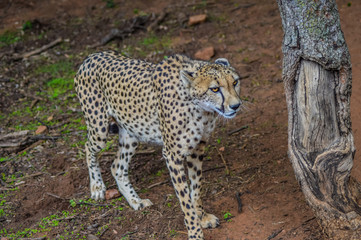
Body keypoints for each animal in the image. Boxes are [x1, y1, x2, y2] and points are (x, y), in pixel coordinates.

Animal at [73, 50, 242, 238]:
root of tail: (93, 55)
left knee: (117, 166)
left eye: (235, 82)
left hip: (132, 133)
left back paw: (136, 201)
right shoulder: (172, 154)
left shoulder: (197, 148)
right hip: (100, 129)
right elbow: (185, 199)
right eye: (215, 89)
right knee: (88, 147)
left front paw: (202, 217)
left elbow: (196, 187)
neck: (200, 109)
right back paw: (97, 187)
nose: (236, 106)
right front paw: (194, 232)